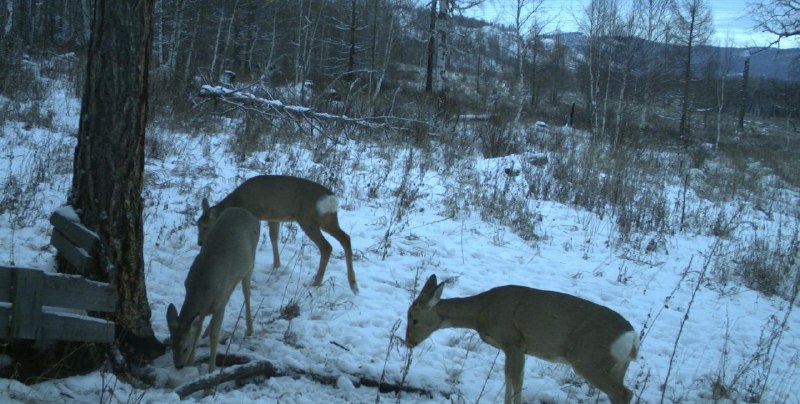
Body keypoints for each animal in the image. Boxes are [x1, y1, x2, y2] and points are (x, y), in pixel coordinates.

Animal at [166, 207, 260, 374]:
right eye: (171, 345)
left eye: (185, 348)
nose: (178, 366)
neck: (201, 288)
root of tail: (247, 212)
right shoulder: (203, 309)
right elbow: (197, 331)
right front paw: (191, 364)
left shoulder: (218, 305)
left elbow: (215, 335)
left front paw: (211, 369)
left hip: (250, 264)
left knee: (246, 293)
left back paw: (249, 329)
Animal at [197, 174, 356, 294]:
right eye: (197, 224)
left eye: (205, 227)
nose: (200, 242)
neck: (237, 202)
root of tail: (330, 199)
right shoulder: (273, 217)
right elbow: (274, 236)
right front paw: (276, 264)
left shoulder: (255, 214)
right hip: (328, 220)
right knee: (346, 238)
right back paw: (353, 284)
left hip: (307, 219)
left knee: (326, 246)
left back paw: (316, 282)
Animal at [404, 274, 640, 404]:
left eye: (414, 319)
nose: (408, 342)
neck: (482, 313)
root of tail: (633, 337)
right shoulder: (509, 348)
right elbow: (508, 377)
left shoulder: (514, 342)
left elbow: (517, 381)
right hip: (617, 367)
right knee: (621, 393)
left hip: (588, 359)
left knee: (624, 393)